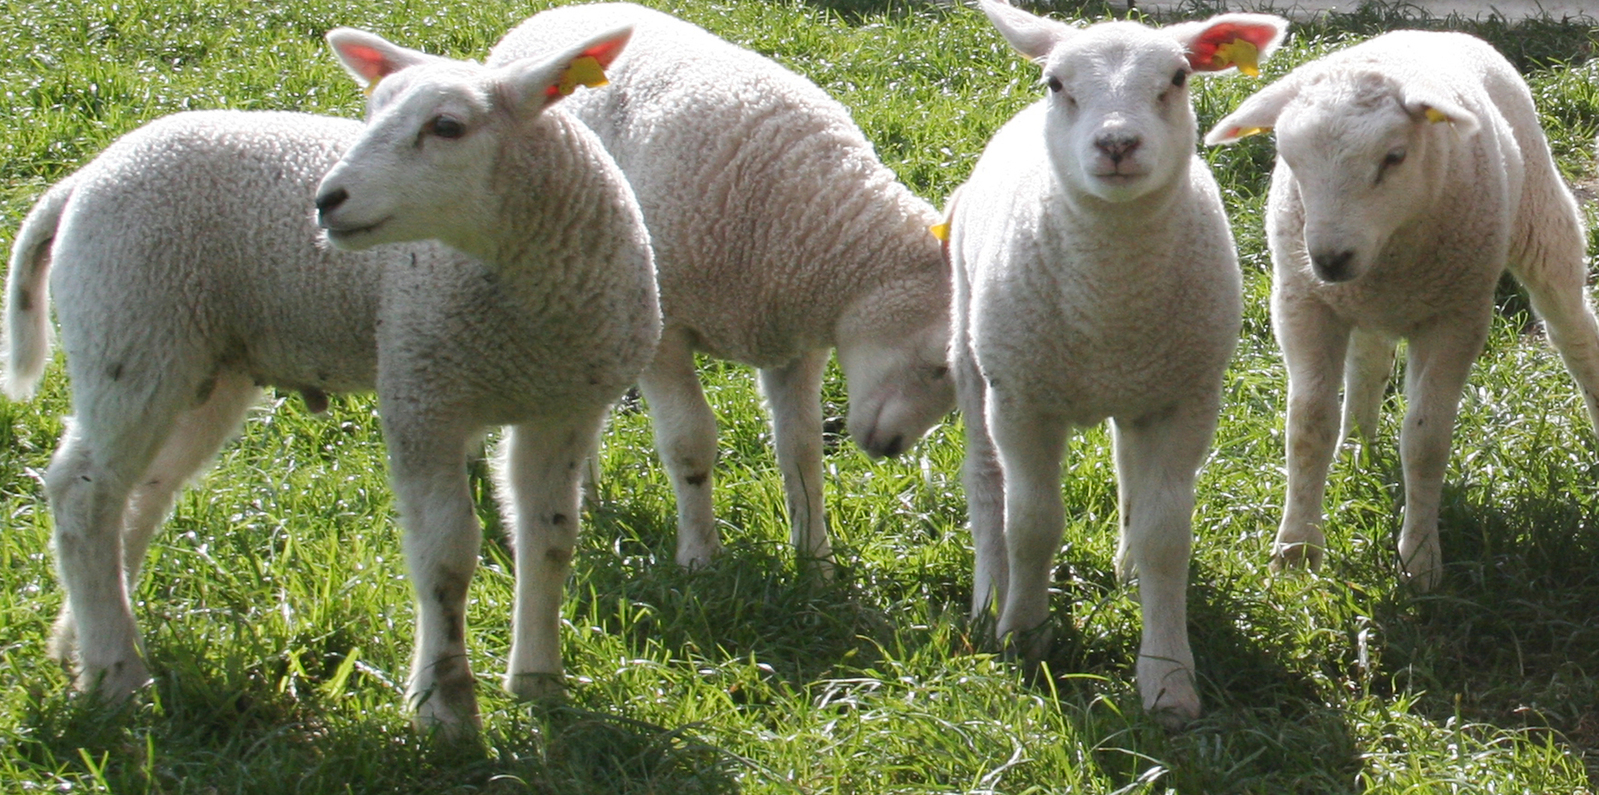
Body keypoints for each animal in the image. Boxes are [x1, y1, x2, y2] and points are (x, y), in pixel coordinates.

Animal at [6, 26, 659, 734]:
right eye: (371, 113)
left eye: (447, 126)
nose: (325, 201)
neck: (526, 301)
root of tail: (81, 180)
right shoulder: (421, 391)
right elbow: (446, 554)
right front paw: (444, 705)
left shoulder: (564, 408)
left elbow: (550, 537)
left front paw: (539, 683)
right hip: (129, 330)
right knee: (82, 495)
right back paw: (118, 675)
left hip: (201, 364)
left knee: (136, 497)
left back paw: (82, 647)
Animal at [488, 3, 956, 572]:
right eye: (940, 362)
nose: (889, 447)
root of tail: (555, 14)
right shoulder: (665, 332)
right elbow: (689, 441)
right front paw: (699, 557)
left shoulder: (796, 344)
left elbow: (800, 448)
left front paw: (816, 560)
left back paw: (589, 496)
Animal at [948, 0, 1288, 726]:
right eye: (1056, 82)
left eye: (1178, 78)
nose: (1116, 145)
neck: (1110, 299)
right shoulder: (1020, 401)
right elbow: (1032, 522)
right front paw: (1024, 635)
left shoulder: (1185, 399)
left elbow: (1166, 534)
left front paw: (1167, 677)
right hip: (973, 356)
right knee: (986, 485)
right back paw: (989, 598)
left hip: (1141, 387)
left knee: (1127, 467)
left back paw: (1126, 565)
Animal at [1205, 31, 1599, 591]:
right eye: (1288, 158)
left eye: (1394, 156)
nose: (1329, 258)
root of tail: (1430, 33)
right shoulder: (1303, 302)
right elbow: (1307, 427)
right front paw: (1296, 554)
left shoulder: (1458, 315)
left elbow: (1426, 439)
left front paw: (1420, 563)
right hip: (1365, 304)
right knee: (1369, 360)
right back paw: (1356, 452)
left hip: (1541, 218)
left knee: (1573, 332)